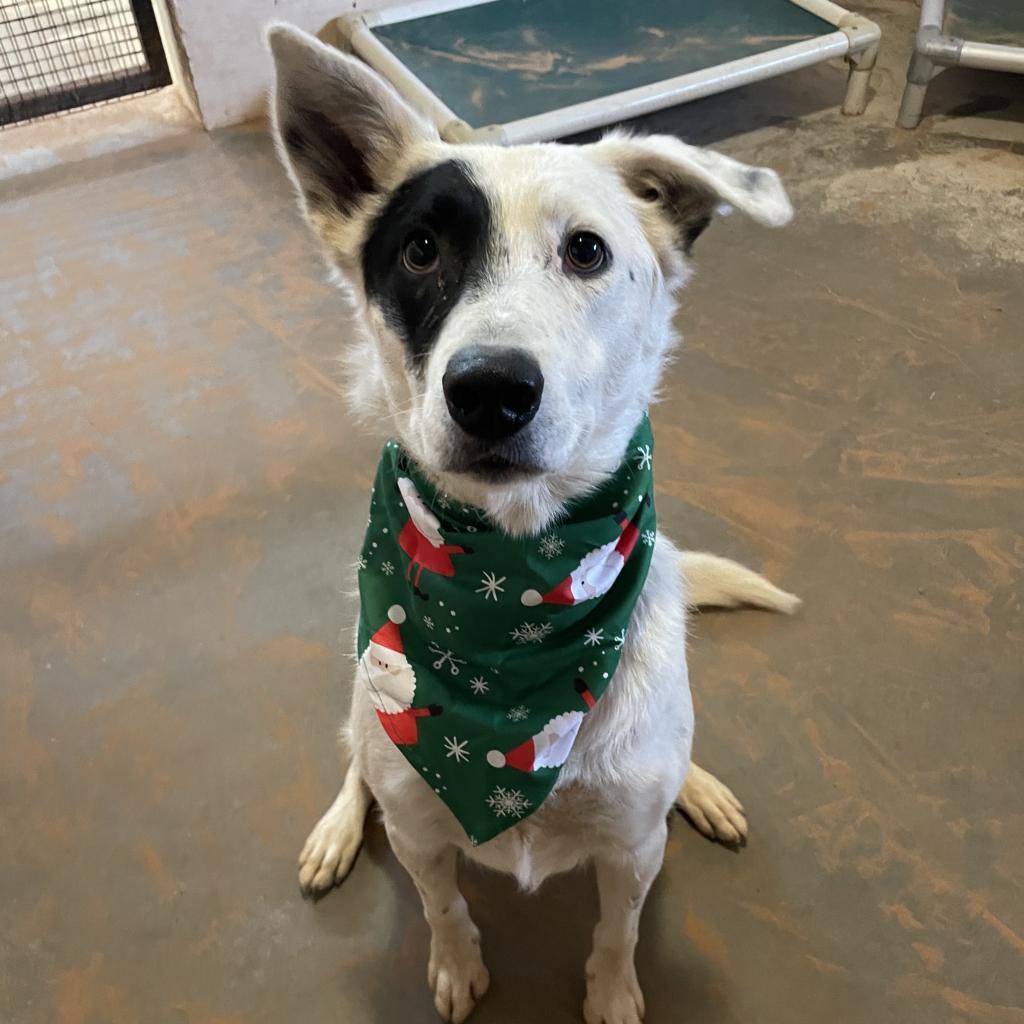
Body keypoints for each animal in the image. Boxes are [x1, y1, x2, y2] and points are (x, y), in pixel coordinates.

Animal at [270, 24, 798, 1024]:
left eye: (587, 251)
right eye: (421, 250)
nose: (489, 390)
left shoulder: (631, 848)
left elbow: (618, 929)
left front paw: (614, 993)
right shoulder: (422, 831)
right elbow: (440, 905)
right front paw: (455, 966)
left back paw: (701, 787)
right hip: (361, 700)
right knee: (357, 759)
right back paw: (331, 832)